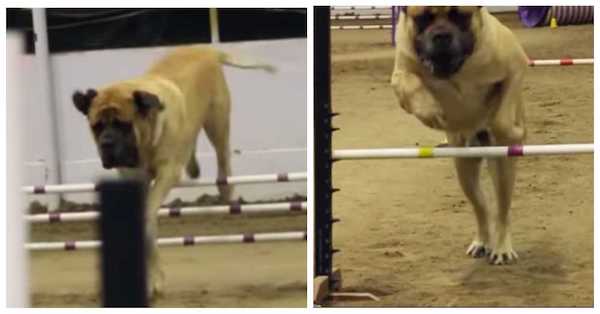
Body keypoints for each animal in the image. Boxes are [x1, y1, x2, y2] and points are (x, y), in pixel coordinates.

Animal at [71, 46, 276, 296]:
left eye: (123, 125)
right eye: (97, 126)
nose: (106, 143)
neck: (146, 141)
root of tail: (205, 49)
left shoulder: (167, 171)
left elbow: (149, 208)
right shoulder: (134, 175)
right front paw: (153, 278)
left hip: (217, 120)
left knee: (222, 154)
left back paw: (225, 186)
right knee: (193, 142)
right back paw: (193, 166)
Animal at [392, 6, 528, 264]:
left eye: (459, 15)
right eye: (423, 18)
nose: (442, 35)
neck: (458, 70)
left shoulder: (516, 67)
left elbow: (501, 118)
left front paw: (512, 131)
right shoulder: (401, 74)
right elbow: (412, 85)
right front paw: (430, 111)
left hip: (504, 172)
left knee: (502, 211)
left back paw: (501, 247)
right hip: (465, 171)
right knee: (481, 208)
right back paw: (482, 241)